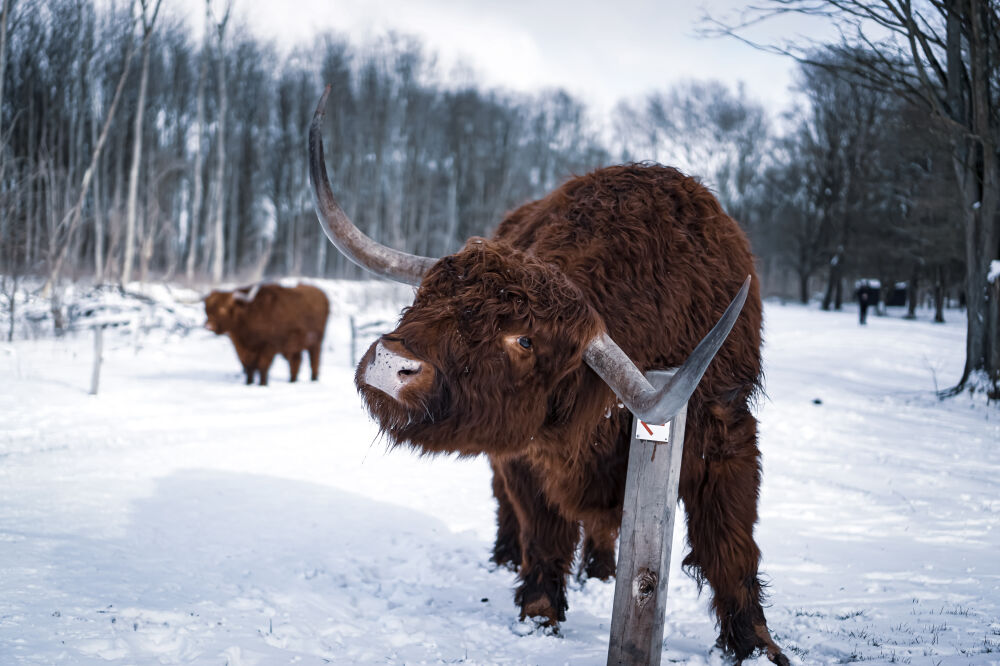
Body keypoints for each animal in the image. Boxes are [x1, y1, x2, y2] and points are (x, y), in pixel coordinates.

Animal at [308, 85, 784, 660]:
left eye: (525, 339)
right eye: (426, 296)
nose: (388, 365)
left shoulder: (725, 432)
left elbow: (730, 547)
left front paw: (757, 646)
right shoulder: (526, 454)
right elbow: (543, 531)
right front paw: (538, 616)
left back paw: (602, 571)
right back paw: (507, 557)